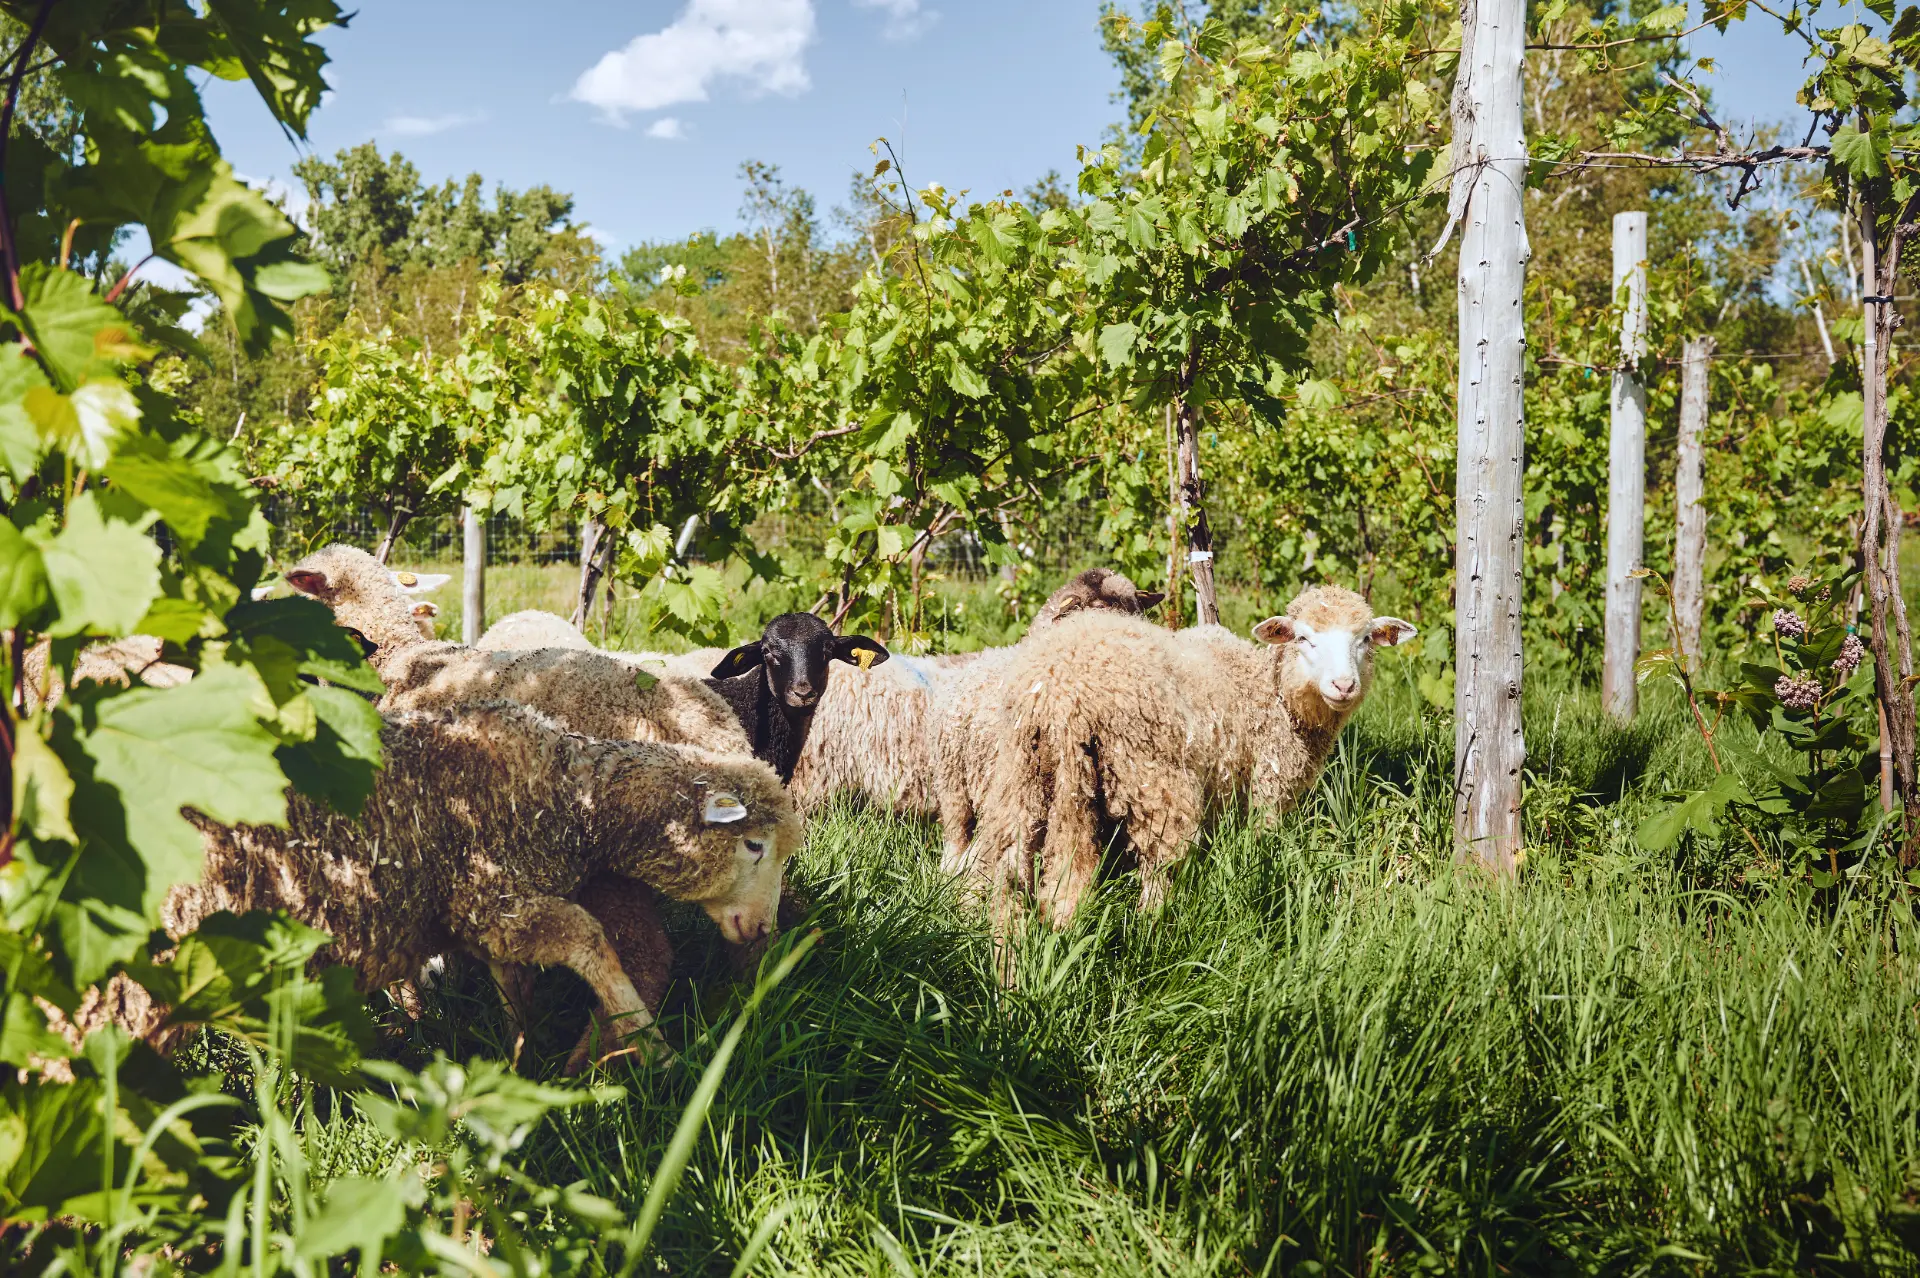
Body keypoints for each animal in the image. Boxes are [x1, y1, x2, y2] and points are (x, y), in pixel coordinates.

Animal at [163, 699, 800, 1071]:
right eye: (754, 845)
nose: (761, 928)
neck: (570, 796)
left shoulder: (486, 914)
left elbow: (513, 985)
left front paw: (522, 1055)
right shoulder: (491, 896)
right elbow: (593, 944)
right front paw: (656, 1047)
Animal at [973, 586, 1415, 934]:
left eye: (1364, 639)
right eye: (1305, 639)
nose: (1343, 685)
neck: (1272, 695)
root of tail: (1059, 690)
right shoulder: (1265, 788)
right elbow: (1262, 842)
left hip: (1021, 774)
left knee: (1008, 873)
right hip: (1152, 779)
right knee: (1149, 872)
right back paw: (1150, 935)